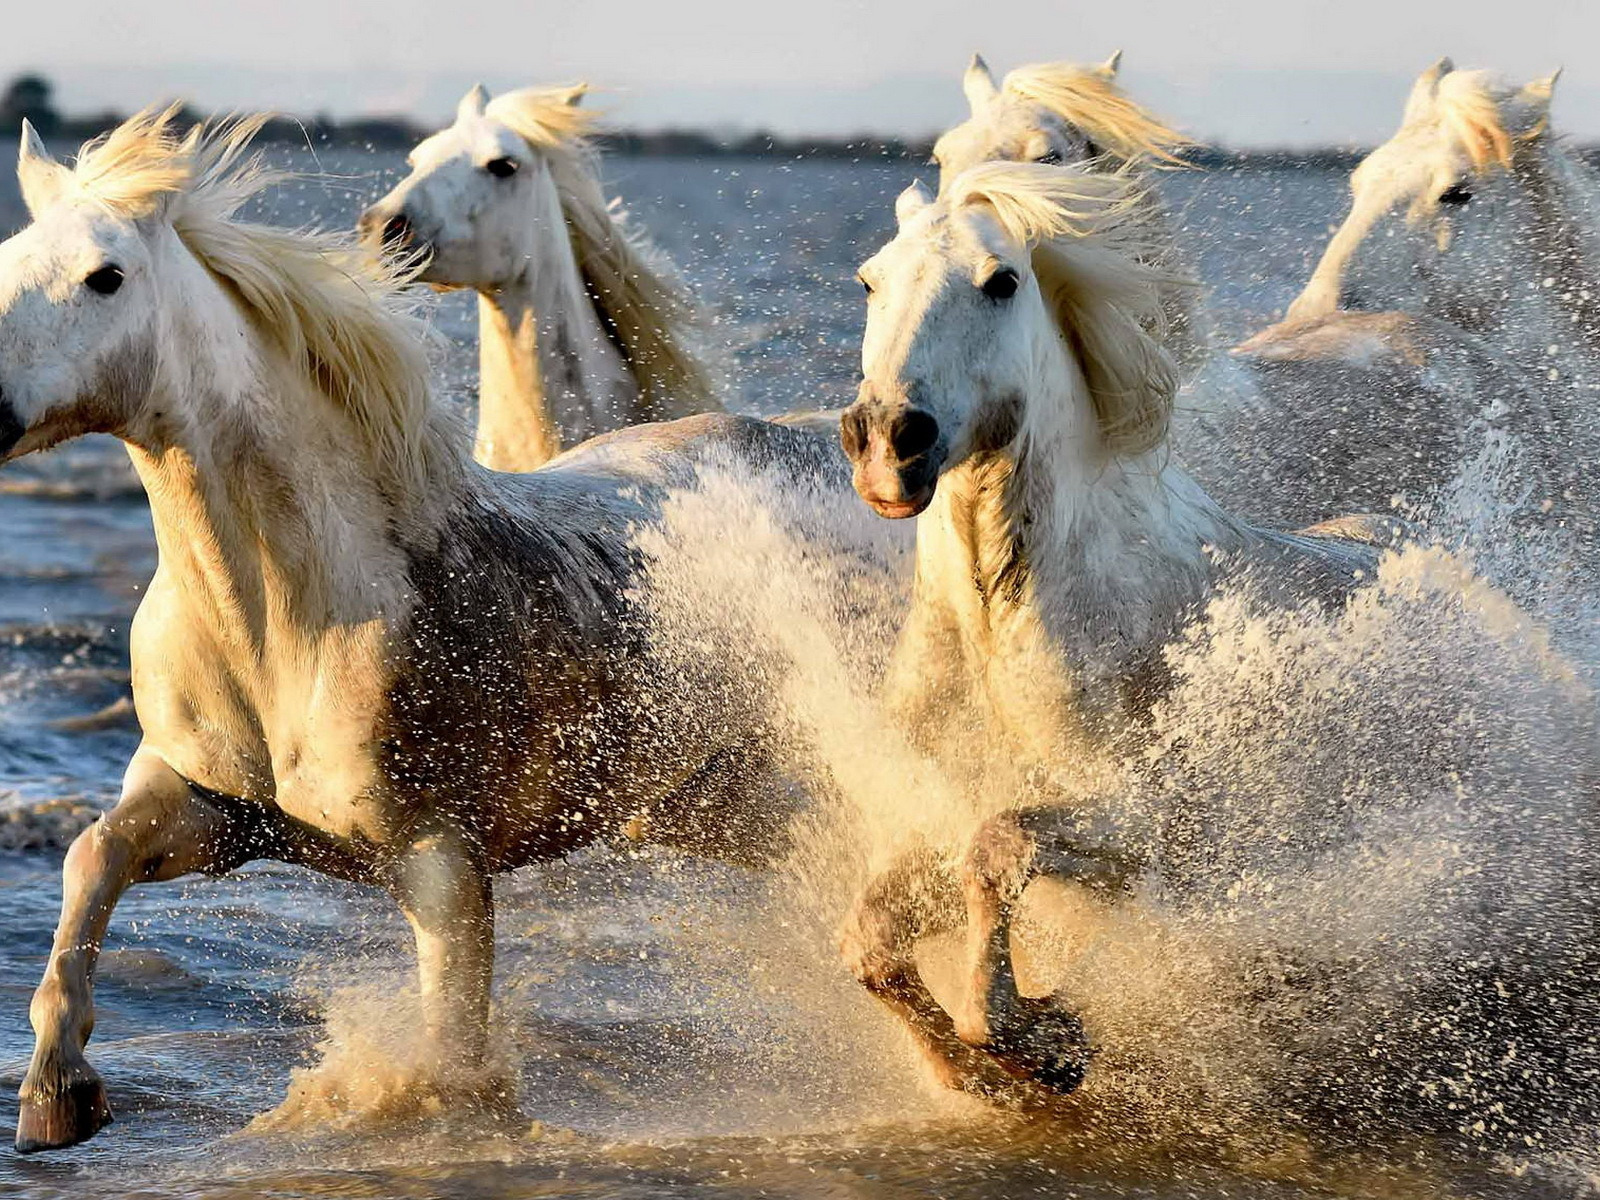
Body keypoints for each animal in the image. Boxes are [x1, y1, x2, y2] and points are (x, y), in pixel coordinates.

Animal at [832, 160, 1408, 1107]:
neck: (1000, 633)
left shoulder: (1143, 825)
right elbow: (872, 941)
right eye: (870, 280)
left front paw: (1036, 1037)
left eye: (1001, 282)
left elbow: (998, 846)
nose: (886, 440)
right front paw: (978, 1069)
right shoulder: (931, 810)